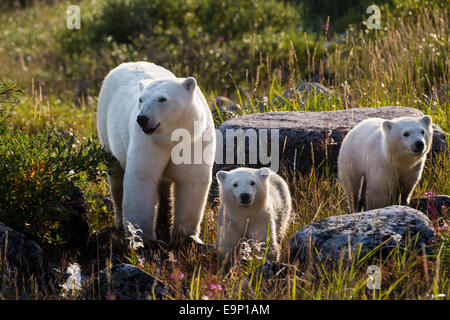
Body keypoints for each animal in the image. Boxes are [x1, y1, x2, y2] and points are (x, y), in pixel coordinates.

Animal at [98, 61, 216, 244]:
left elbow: (191, 180)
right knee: (116, 178)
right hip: (106, 128)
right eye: (141, 99)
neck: (170, 138)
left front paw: (187, 236)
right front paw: (143, 237)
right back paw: (120, 221)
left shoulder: (194, 140)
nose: (142, 118)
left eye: (162, 99)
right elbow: (142, 177)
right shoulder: (149, 143)